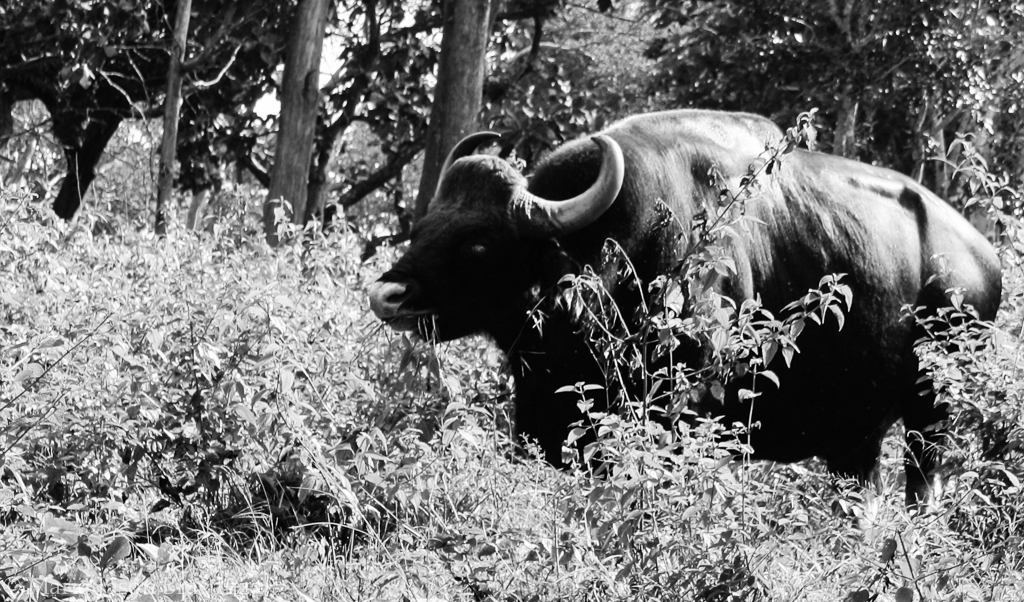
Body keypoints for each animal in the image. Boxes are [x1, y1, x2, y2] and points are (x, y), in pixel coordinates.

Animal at [368, 110, 1002, 504]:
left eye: (478, 243)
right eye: (423, 227)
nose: (387, 294)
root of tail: (983, 256)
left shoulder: (683, 419)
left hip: (932, 417)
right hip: (857, 439)